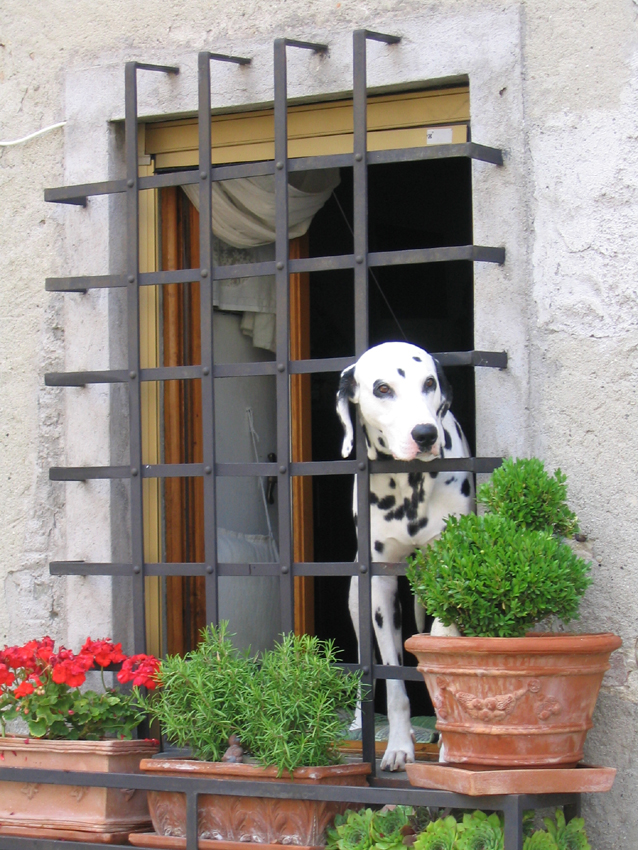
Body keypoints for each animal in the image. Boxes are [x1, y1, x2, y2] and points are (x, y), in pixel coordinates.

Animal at [340, 340, 476, 768]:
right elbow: (395, 680)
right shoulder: (381, 588)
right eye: (382, 388)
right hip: (357, 598)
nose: (426, 433)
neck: (409, 486)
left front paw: (449, 746)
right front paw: (399, 745)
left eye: (429, 383)